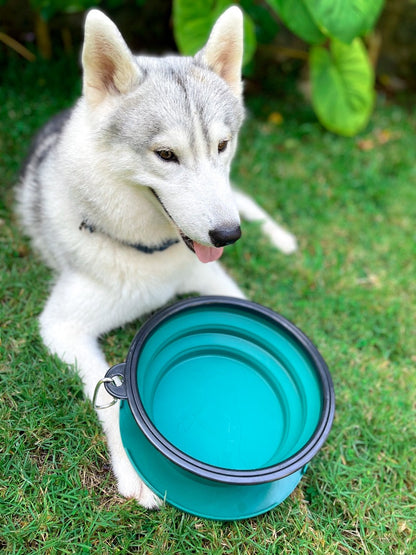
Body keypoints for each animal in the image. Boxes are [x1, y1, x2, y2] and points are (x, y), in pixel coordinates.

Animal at [16, 6, 296, 508]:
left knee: (243, 198)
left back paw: (280, 236)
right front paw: (135, 469)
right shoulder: (62, 327)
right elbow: (108, 395)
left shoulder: (215, 280)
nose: (228, 235)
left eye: (222, 146)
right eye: (166, 155)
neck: (151, 252)